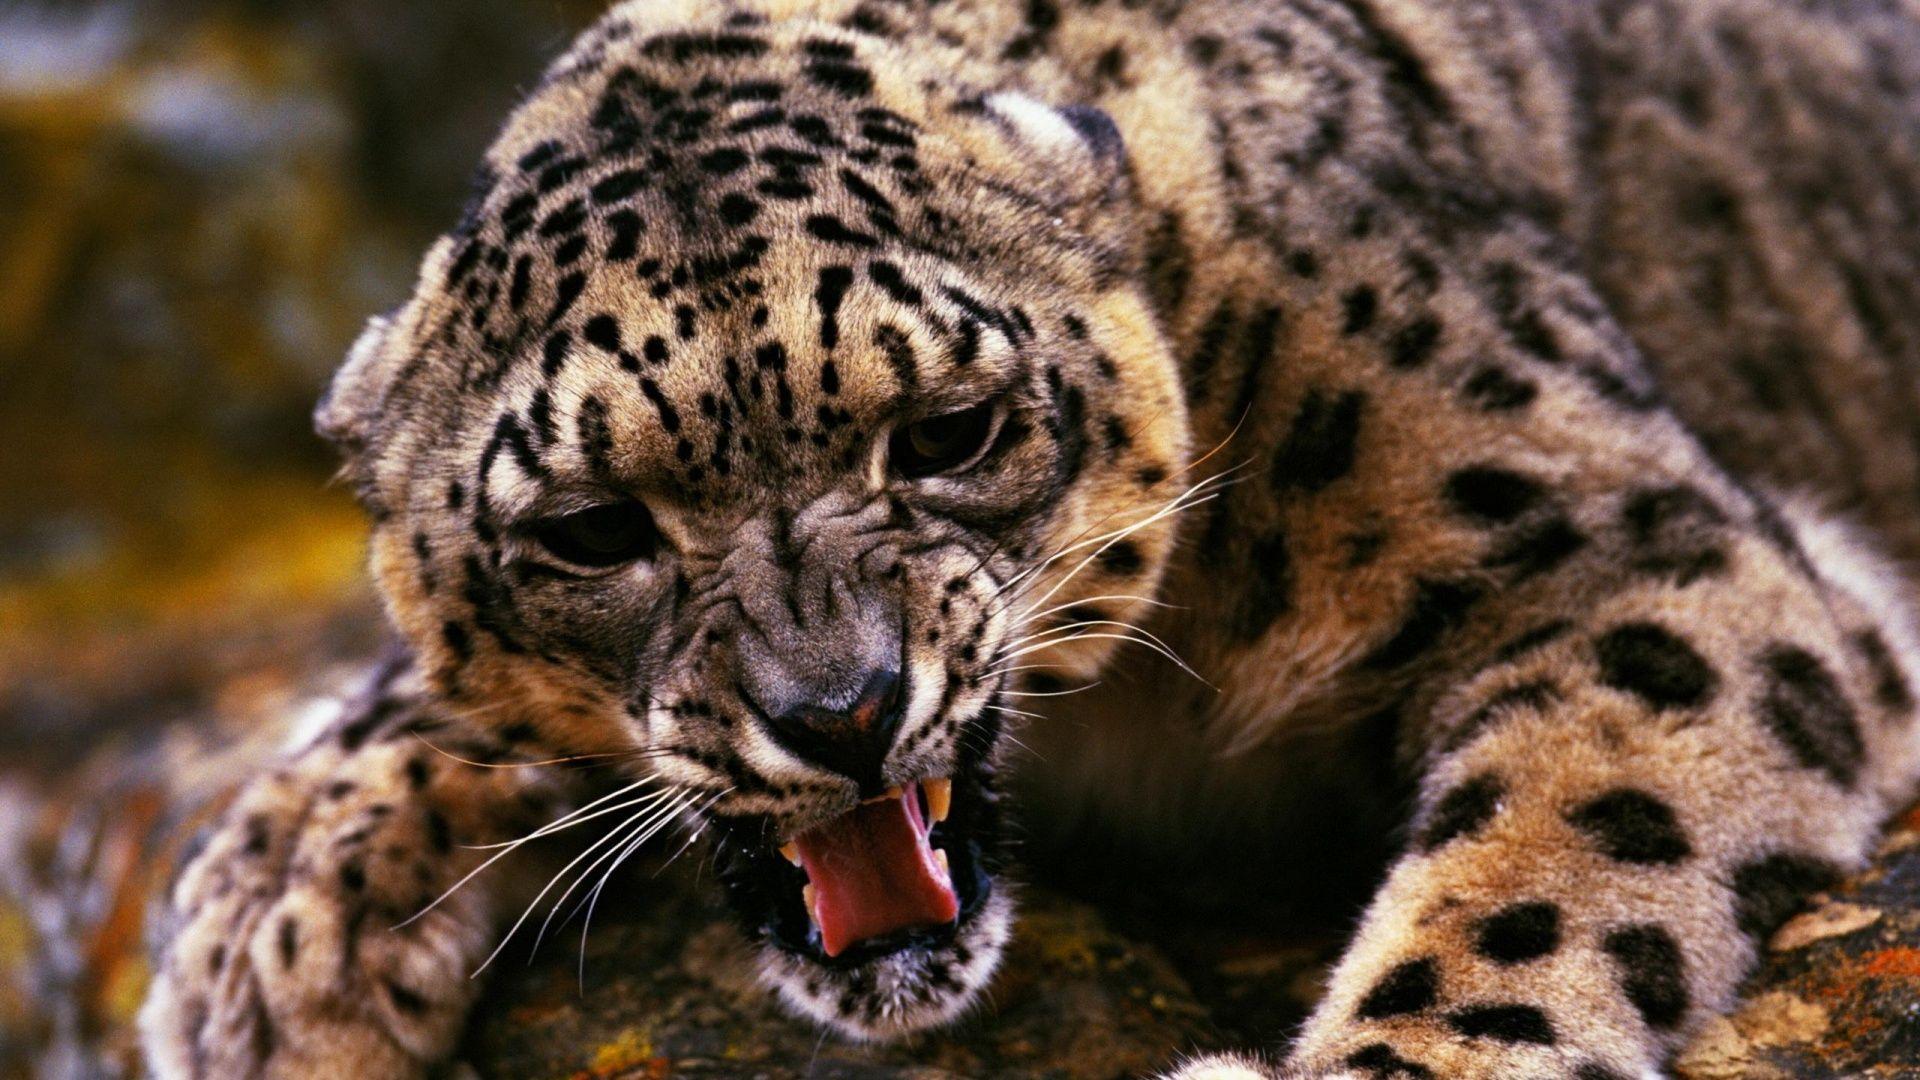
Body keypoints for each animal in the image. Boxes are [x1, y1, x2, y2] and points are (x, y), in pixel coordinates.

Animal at [135, 0, 1920, 1076]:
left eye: (949, 433)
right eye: (589, 528)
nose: (842, 712)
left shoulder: (1625, 547)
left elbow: (1540, 879)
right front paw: (270, 937)